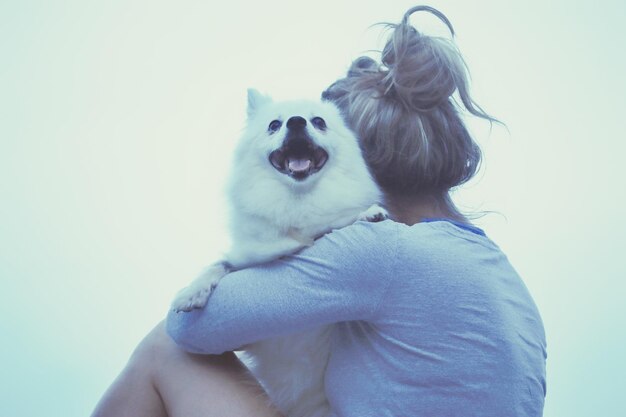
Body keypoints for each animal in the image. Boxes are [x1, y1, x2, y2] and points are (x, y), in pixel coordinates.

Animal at [173, 89, 382, 416]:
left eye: (318, 122)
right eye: (274, 125)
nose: (296, 122)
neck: (296, 202)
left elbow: (331, 225)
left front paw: (365, 214)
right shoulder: (246, 258)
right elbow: (219, 263)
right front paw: (192, 291)